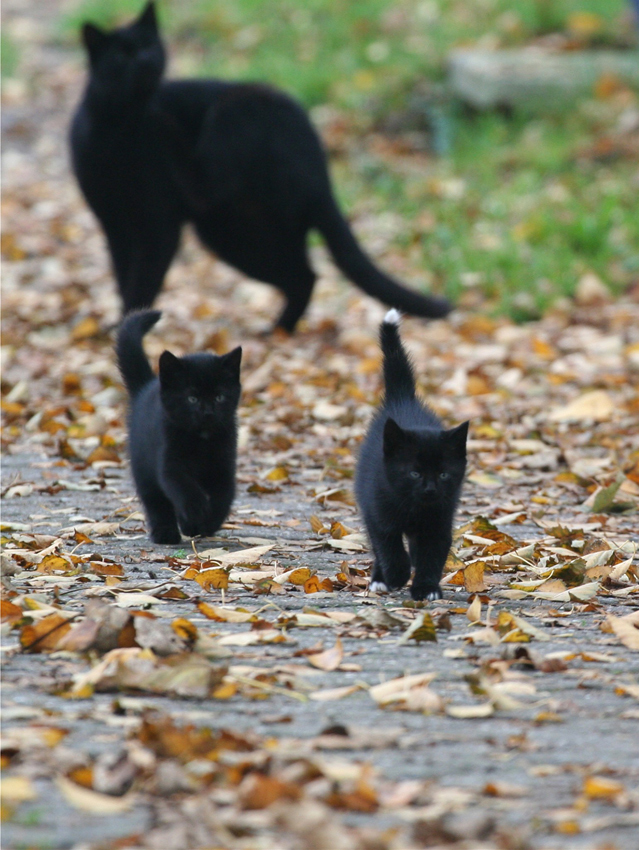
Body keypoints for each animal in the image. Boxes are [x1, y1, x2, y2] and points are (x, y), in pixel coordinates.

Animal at [70, 2, 452, 332]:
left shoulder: (157, 223)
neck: (116, 130)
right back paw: (280, 331)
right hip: (237, 233)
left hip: (233, 114)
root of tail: (321, 170)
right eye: (122, 54)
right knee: (303, 276)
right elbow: (124, 276)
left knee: (209, 188)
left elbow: (143, 278)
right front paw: (121, 325)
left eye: (150, 45)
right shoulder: (114, 222)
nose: (147, 59)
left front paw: (131, 325)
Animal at [116, 308, 241, 540]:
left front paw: (210, 520)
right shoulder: (169, 461)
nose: (208, 412)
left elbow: (224, 495)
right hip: (143, 466)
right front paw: (197, 508)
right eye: (192, 398)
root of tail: (145, 388)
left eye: (219, 397)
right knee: (156, 502)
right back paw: (166, 533)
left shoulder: (224, 464)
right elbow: (183, 487)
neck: (202, 440)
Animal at [356, 308, 470, 600]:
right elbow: (388, 545)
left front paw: (426, 588)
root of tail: (402, 399)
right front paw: (397, 574)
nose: (430, 489)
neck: (416, 509)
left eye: (443, 474)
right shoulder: (378, 510)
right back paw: (381, 578)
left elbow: (433, 554)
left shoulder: (440, 521)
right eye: (414, 473)